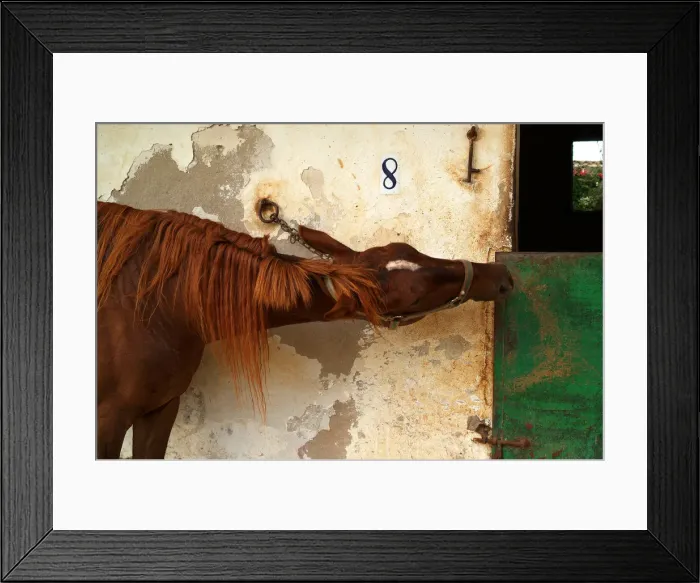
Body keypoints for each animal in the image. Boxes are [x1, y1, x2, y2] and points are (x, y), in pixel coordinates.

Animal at [96, 200, 514, 459]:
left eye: (412, 250)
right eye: (412, 301)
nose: (501, 276)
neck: (159, 303)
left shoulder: (160, 408)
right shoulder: (108, 419)